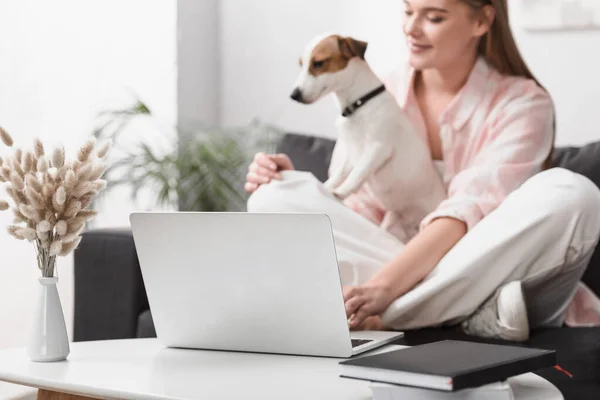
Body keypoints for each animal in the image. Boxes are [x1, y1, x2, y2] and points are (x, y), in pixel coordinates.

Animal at [288, 33, 448, 241]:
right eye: (301, 64)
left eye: (318, 63)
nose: (293, 95)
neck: (359, 103)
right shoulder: (352, 152)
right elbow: (341, 174)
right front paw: (327, 186)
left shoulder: (377, 149)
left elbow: (357, 175)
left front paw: (339, 193)